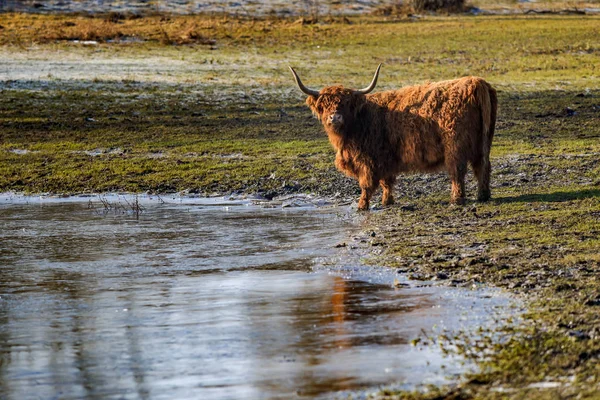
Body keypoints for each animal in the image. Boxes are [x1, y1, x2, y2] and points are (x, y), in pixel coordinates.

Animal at [290, 64, 496, 211]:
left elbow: (367, 184)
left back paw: (457, 199)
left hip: (455, 145)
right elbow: (386, 181)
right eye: (324, 104)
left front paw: (362, 205)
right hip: (483, 142)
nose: (335, 117)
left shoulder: (368, 160)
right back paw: (483, 195)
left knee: (457, 171)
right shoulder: (385, 158)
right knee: (483, 166)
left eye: (346, 103)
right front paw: (386, 201)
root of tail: (475, 82)